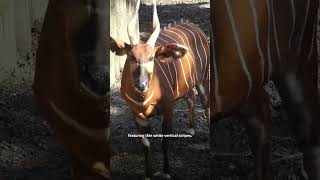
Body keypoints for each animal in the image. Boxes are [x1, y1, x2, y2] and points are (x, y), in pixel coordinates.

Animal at [110, 0, 210, 179]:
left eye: (151, 58)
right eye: (132, 57)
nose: (142, 85)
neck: (143, 101)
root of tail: (194, 26)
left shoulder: (168, 109)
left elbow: (165, 141)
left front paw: (167, 172)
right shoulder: (137, 115)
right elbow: (146, 144)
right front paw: (148, 174)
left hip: (203, 80)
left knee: (206, 104)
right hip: (186, 87)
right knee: (191, 97)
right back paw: (191, 128)